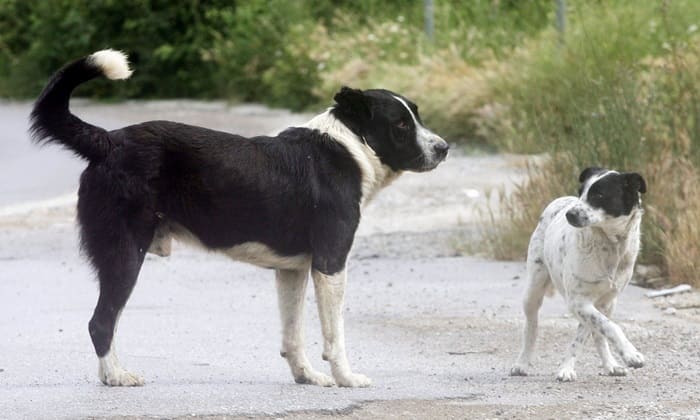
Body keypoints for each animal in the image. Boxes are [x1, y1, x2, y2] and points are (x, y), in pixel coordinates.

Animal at [31, 49, 448, 388]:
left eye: (416, 115)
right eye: (400, 124)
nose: (444, 148)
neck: (348, 146)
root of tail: (108, 142)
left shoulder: (293, 270)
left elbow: (293, 334)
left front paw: (307, 376)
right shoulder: (330, 265)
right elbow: (335, 336)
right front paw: (346, 378)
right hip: (125, 253)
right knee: (101, 322)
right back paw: (116, 375)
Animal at [512, 167, 648, 380]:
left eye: (599, 195)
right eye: (581, 192)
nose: (570, 214)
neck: (609, 245)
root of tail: (560, 200)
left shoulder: (598, 302)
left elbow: (596, 330)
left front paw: (568, 367)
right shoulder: (578, 301)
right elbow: (610, 326)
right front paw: (631, 354)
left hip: (608, 304)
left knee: (596, 333)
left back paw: (610, 364)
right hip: (533, 290)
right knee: (531, 326)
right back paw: (522, 363)